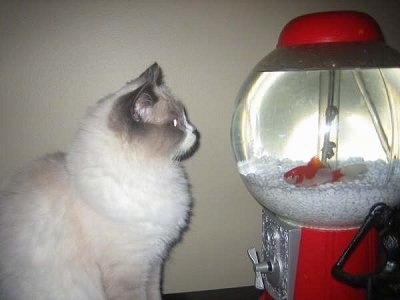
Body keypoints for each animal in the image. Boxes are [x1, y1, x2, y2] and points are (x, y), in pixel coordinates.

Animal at [0, 63, 199, 300]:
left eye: (185, 116)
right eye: (176, 123)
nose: (195, 132)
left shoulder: (152, 262)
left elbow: (154, 294)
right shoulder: (130, 270)